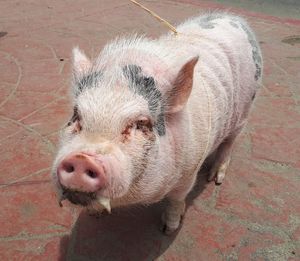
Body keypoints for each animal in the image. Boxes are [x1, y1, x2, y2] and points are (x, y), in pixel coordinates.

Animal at [51, 12, 262, 233]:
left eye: (141, 122)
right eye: (76, 116)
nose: (81, 158)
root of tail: (232, 18)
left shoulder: (190, 171)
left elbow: (177, 199)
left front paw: (168, 229)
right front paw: (94, 215)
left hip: (245, 110)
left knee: (230, 142)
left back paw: (215, 179)